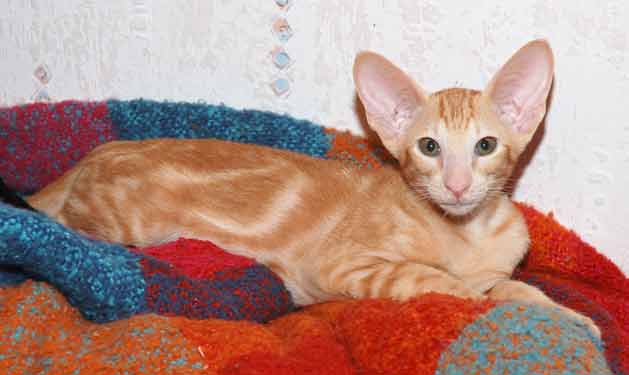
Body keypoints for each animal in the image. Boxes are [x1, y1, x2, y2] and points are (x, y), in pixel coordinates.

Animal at [28, 40, 600, 338]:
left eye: (485, 145)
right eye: (429, 147)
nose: (457, 187)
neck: (466, 232)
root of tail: (94, 154)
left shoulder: (501, 265)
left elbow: (514, 288)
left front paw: (568, 315)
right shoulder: (344, 266)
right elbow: (442, 284)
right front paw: (486, 301)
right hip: (115, 223)